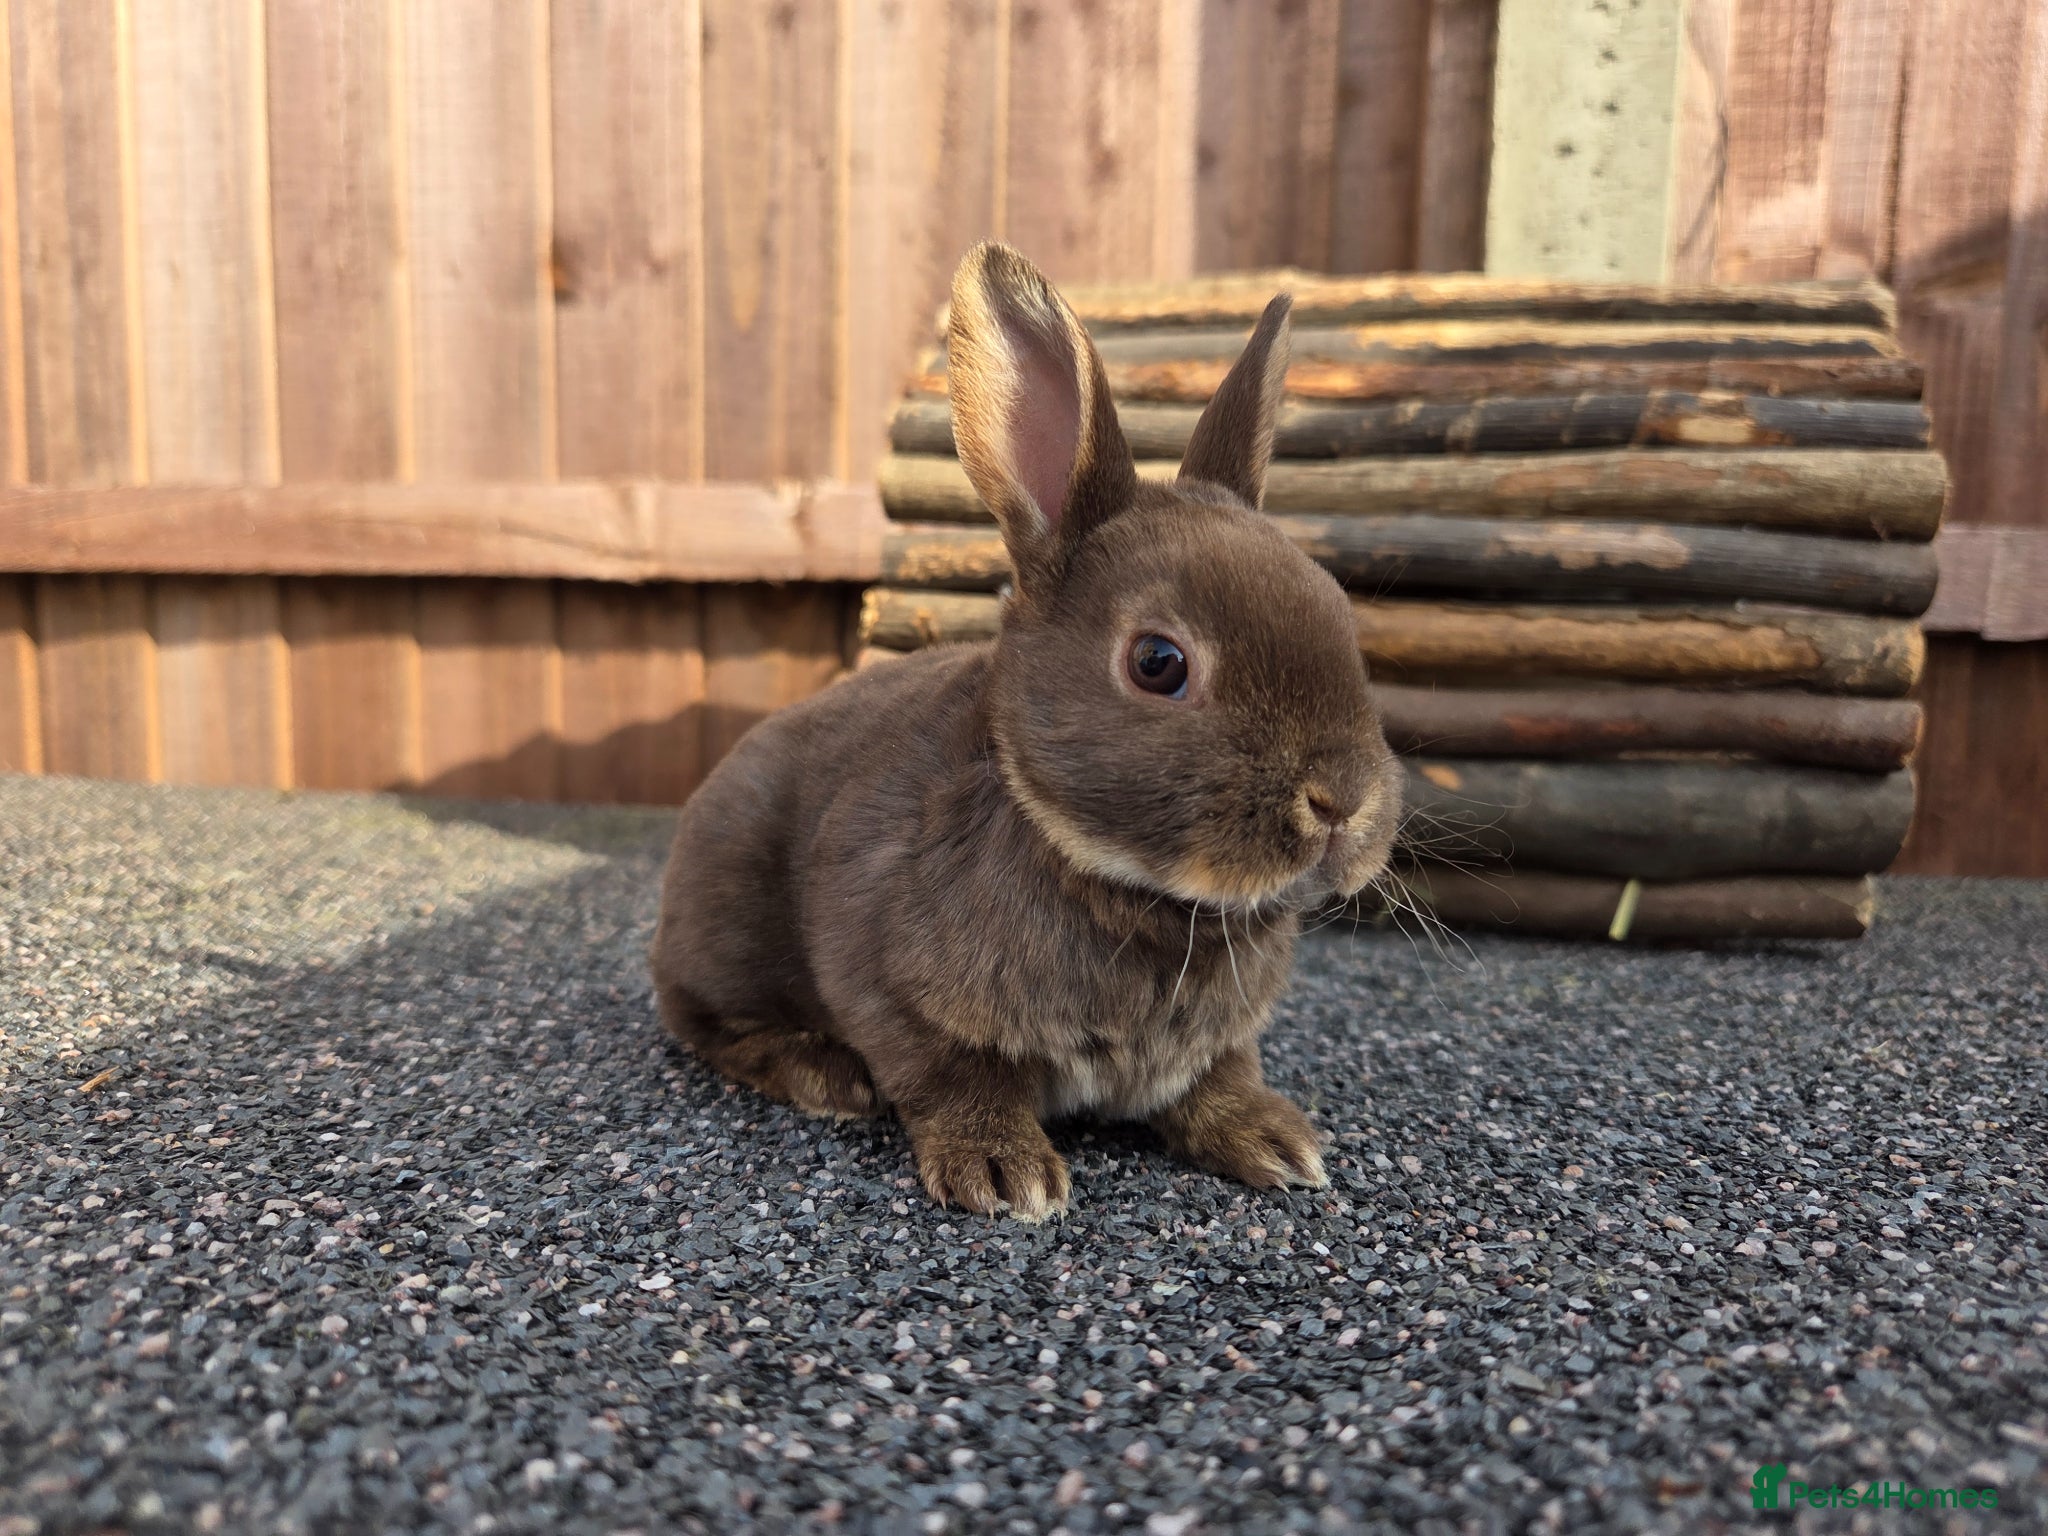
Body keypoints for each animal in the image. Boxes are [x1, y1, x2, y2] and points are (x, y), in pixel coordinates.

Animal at [650, 241, 1402, 1219]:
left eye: (1342, 615)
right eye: (1158, 662)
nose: (1342, 803)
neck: (1132, 888)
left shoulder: (1220, 1040)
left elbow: (1221, 1076)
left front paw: (1275, 1141)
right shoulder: (891, 991)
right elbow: (951, 1078)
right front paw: (1005, 1172)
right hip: (726, 926)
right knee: (699, 1018)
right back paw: (824, 1077)